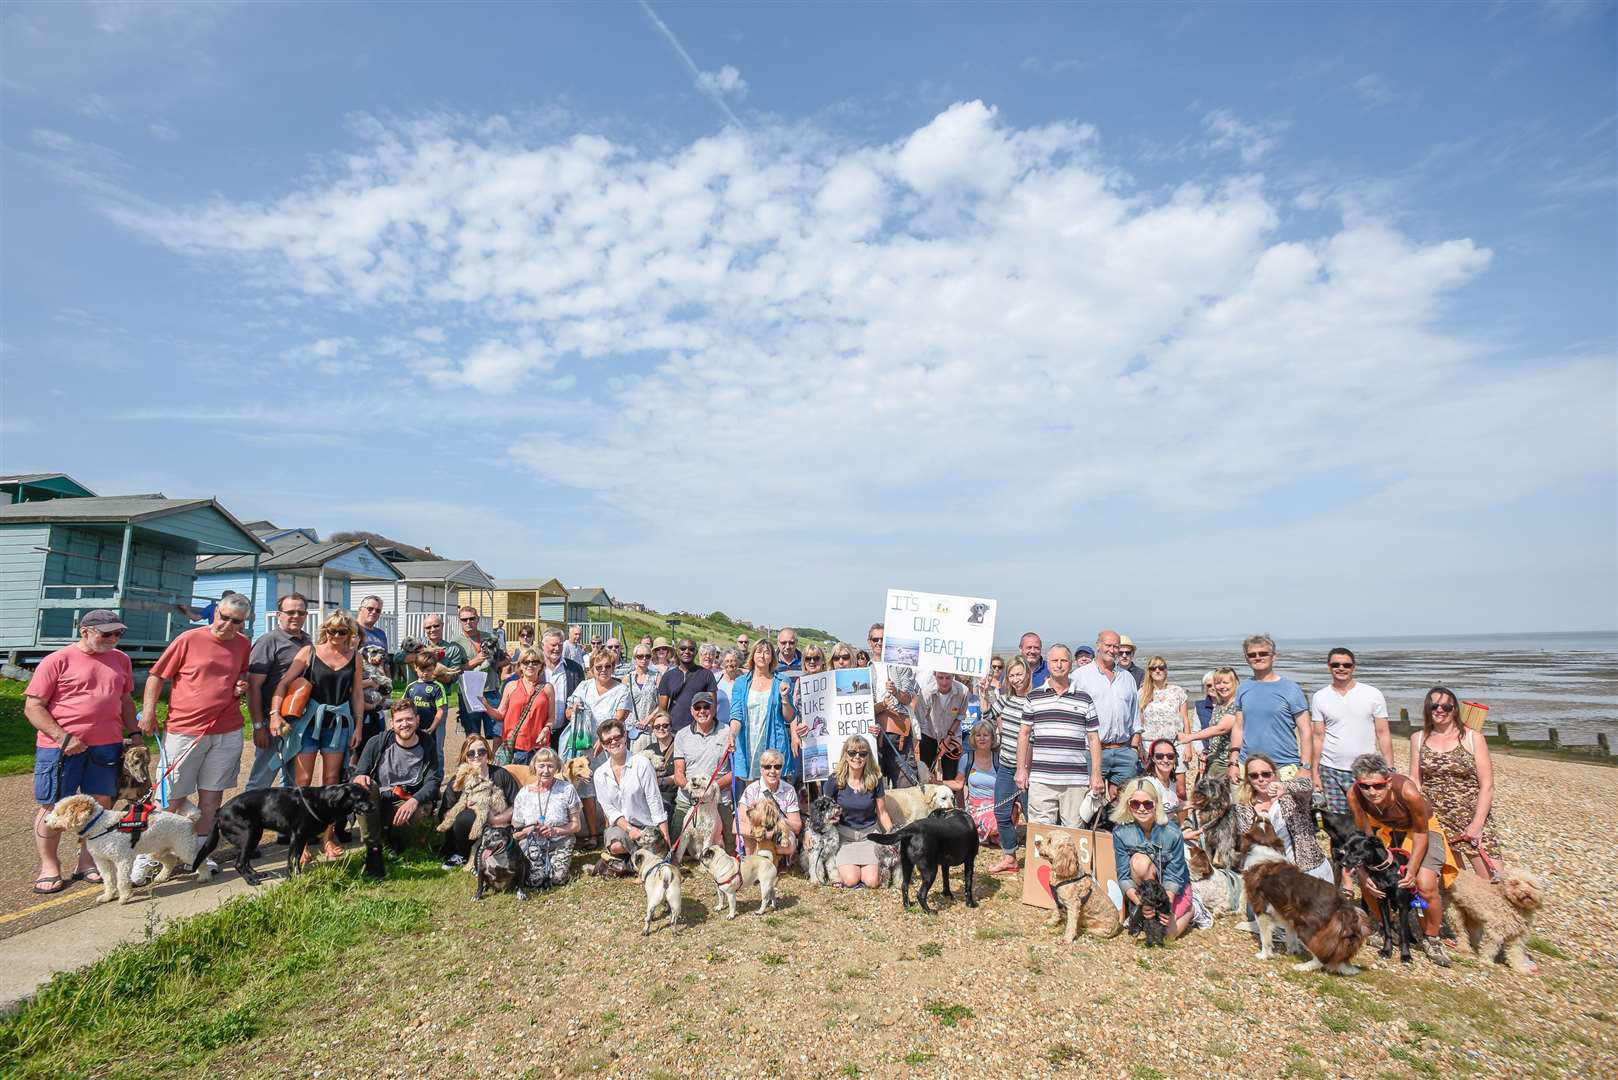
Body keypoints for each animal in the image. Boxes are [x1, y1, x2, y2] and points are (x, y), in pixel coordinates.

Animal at [46, 793, 215, 906]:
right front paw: (107, 896)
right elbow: (109, 880)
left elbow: (121, 880)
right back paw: (162, 877)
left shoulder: (122, 860)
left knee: (200, 860)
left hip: (185, 850)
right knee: (170, 860)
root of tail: (188, 819)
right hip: (157, 851)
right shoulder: (102, 861)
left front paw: (124, 897)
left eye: (59, 813)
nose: (46, 821)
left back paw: (204, 876)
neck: (100, 825)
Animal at [194, 786, 370, 887]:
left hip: (254, 835)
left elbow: (297, 859)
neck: (322, 800)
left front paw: (299, 876)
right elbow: (292, 860)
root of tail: (219, 812)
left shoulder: (302, 839)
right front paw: (292, 879)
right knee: (239, 863)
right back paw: (251, 880)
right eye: (360, 798)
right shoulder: (296, 837)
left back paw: (256, 874)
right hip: (249, 833)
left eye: (367, 795)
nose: (373, 805)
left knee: (245, 860)